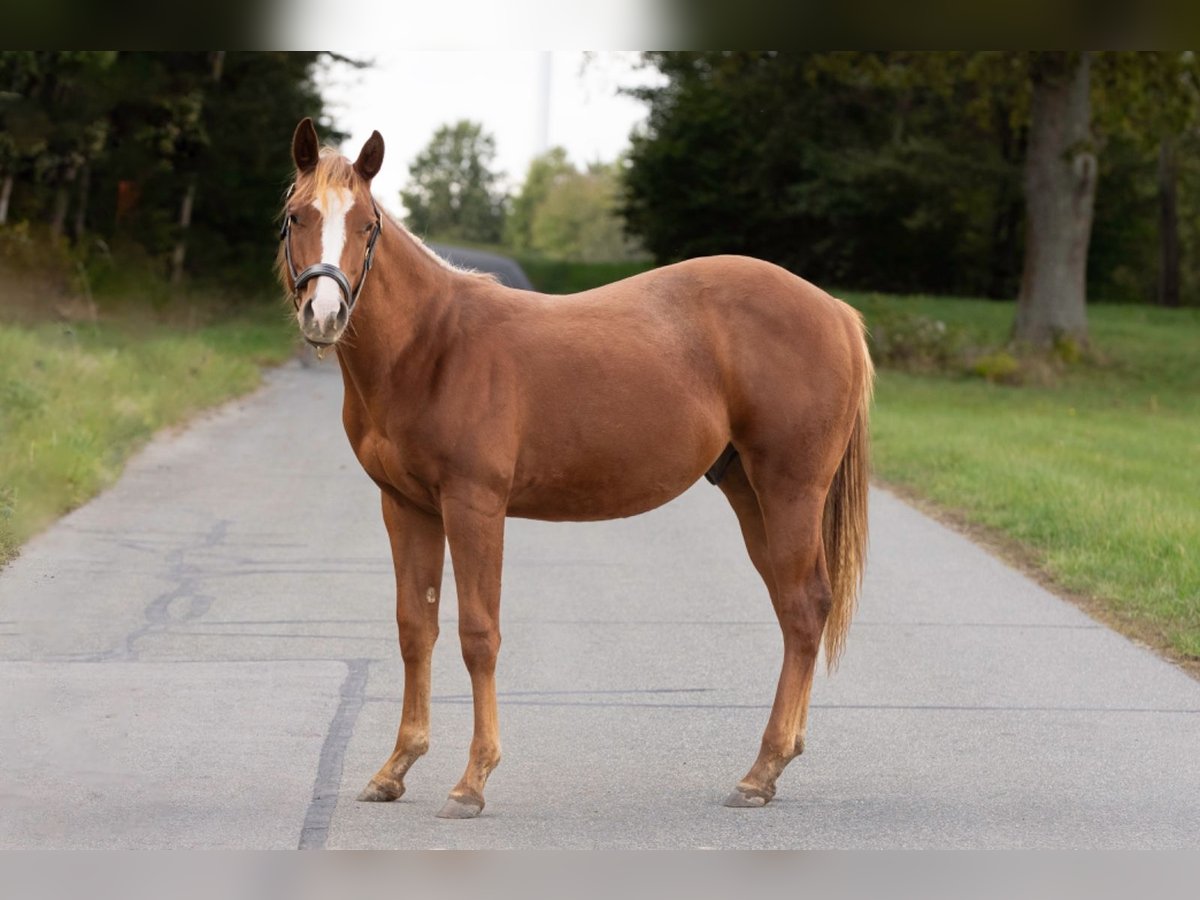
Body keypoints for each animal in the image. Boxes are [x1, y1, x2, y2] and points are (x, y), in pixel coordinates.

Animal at [285, 118, 878, 816]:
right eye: (297, 216)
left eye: (366, 223)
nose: (324, 315)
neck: (432, 347)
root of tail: (835, 311)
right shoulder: (405, 507)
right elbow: (415, 629)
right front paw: (395, 769)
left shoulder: (474, 505)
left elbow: (478, 634)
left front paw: (472, 781)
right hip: (747, 489)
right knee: (794, 607)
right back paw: (774, 763)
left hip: (790, 489)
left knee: (806, 606)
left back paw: (761, 771)